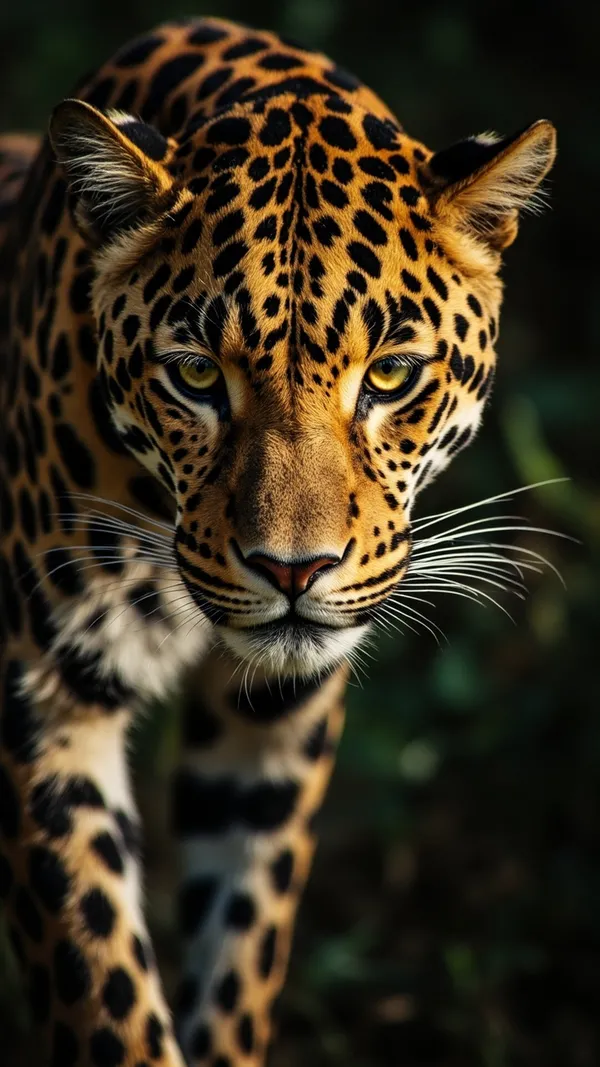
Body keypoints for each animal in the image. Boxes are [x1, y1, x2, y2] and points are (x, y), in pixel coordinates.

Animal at [0, 16, 556, 1067]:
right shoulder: (41, 707)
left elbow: (241, 949)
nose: (294, 570)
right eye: (193, 374)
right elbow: (103, 987)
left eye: (391, 374)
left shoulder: (272, 739)